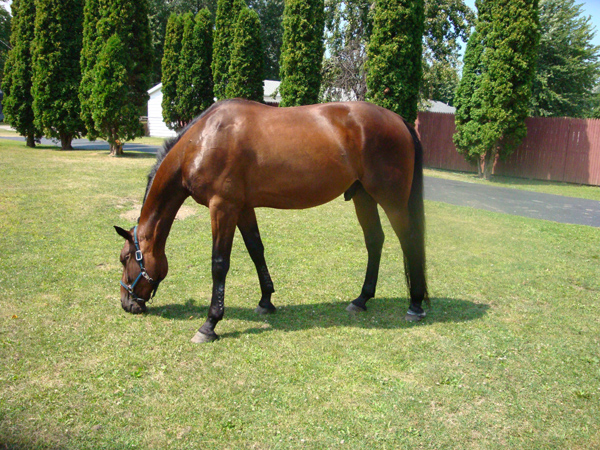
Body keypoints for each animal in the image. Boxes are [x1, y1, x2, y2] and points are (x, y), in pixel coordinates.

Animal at [115, 100, 428, 342]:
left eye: (125, 258)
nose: (127, 304)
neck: (201, 141)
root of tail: (399, 120)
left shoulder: (223, 207)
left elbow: (219, 264)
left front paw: (210, 324)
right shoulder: (242, 208)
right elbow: (256, 250)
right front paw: (266, 300)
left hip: (391, 198)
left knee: (409, 241)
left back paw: (415, 305)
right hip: (363, 196)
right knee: (375, 241)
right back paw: (361, 300)